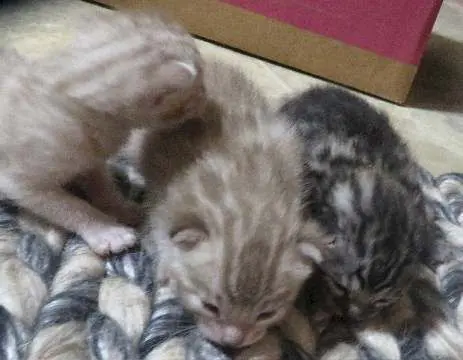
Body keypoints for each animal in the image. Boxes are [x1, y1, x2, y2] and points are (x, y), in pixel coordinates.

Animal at [141, 59, 322, 348]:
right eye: (210, 307)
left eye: (266, 314)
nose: (233, 341)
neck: (250, 193)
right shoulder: (163, 200)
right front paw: (164, 268)